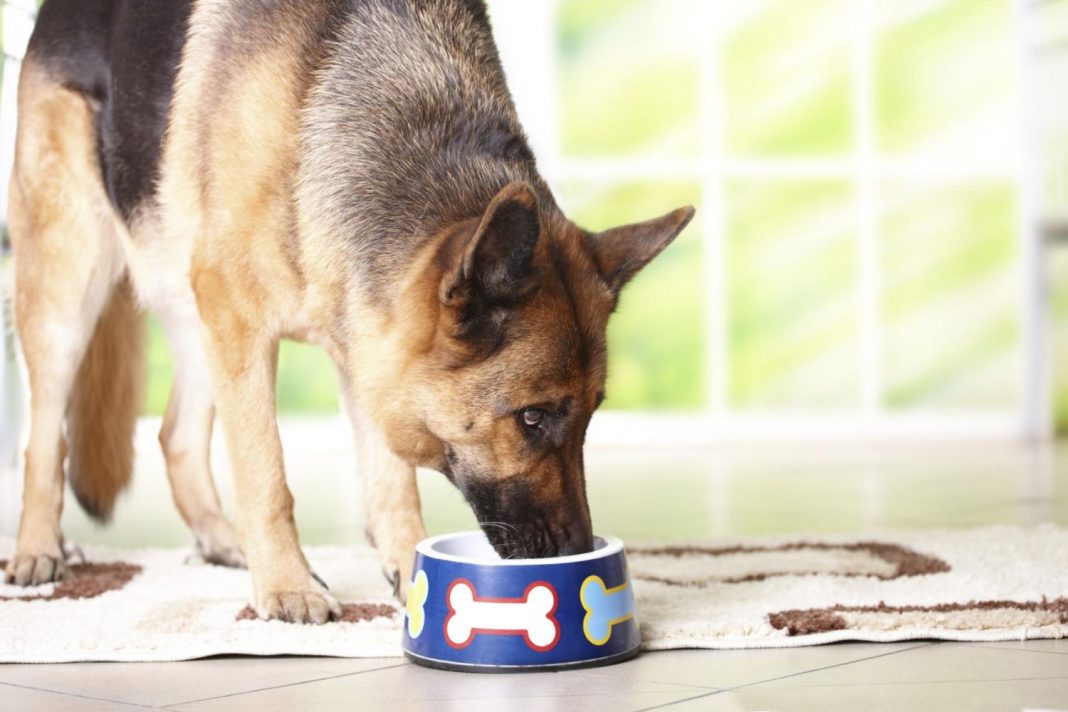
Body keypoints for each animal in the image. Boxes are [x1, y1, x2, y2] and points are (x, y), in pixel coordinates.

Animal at [4, 1, 692, 623]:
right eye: (531, 418)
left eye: (591, 415)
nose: (577, 551)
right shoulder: (244, 322)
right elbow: (265, 472)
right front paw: (287, 586)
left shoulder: (367, 342)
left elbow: (390, 481)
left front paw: (409, 574)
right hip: (71, 289)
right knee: (44, 438)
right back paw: (39, 550)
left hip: (193, 316)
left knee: (174, 434)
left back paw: (223, 541)